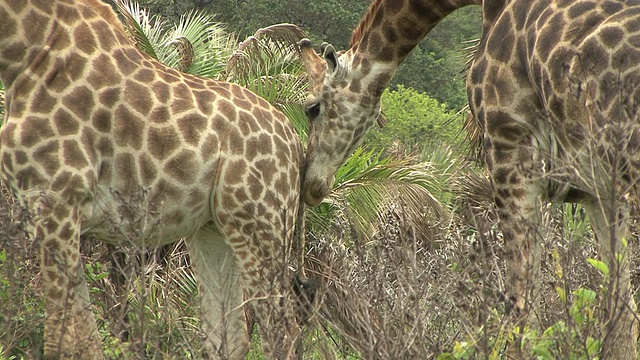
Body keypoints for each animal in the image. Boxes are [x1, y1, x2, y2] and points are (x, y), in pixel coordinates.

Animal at [0, 0, 304, 360]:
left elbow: (67, 342)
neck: (24, 48)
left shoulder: (55, 199)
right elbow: (83, 338)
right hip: (214, 228)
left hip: (262, 221)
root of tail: (295, 141)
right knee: (229, 336)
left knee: (283, 331)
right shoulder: (53, 211)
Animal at [302, 0, 640, 358]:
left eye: (312, 107)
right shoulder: (598, 189)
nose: (310, 183)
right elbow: (619, 314)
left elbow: (522, 311)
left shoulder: (509, 152)